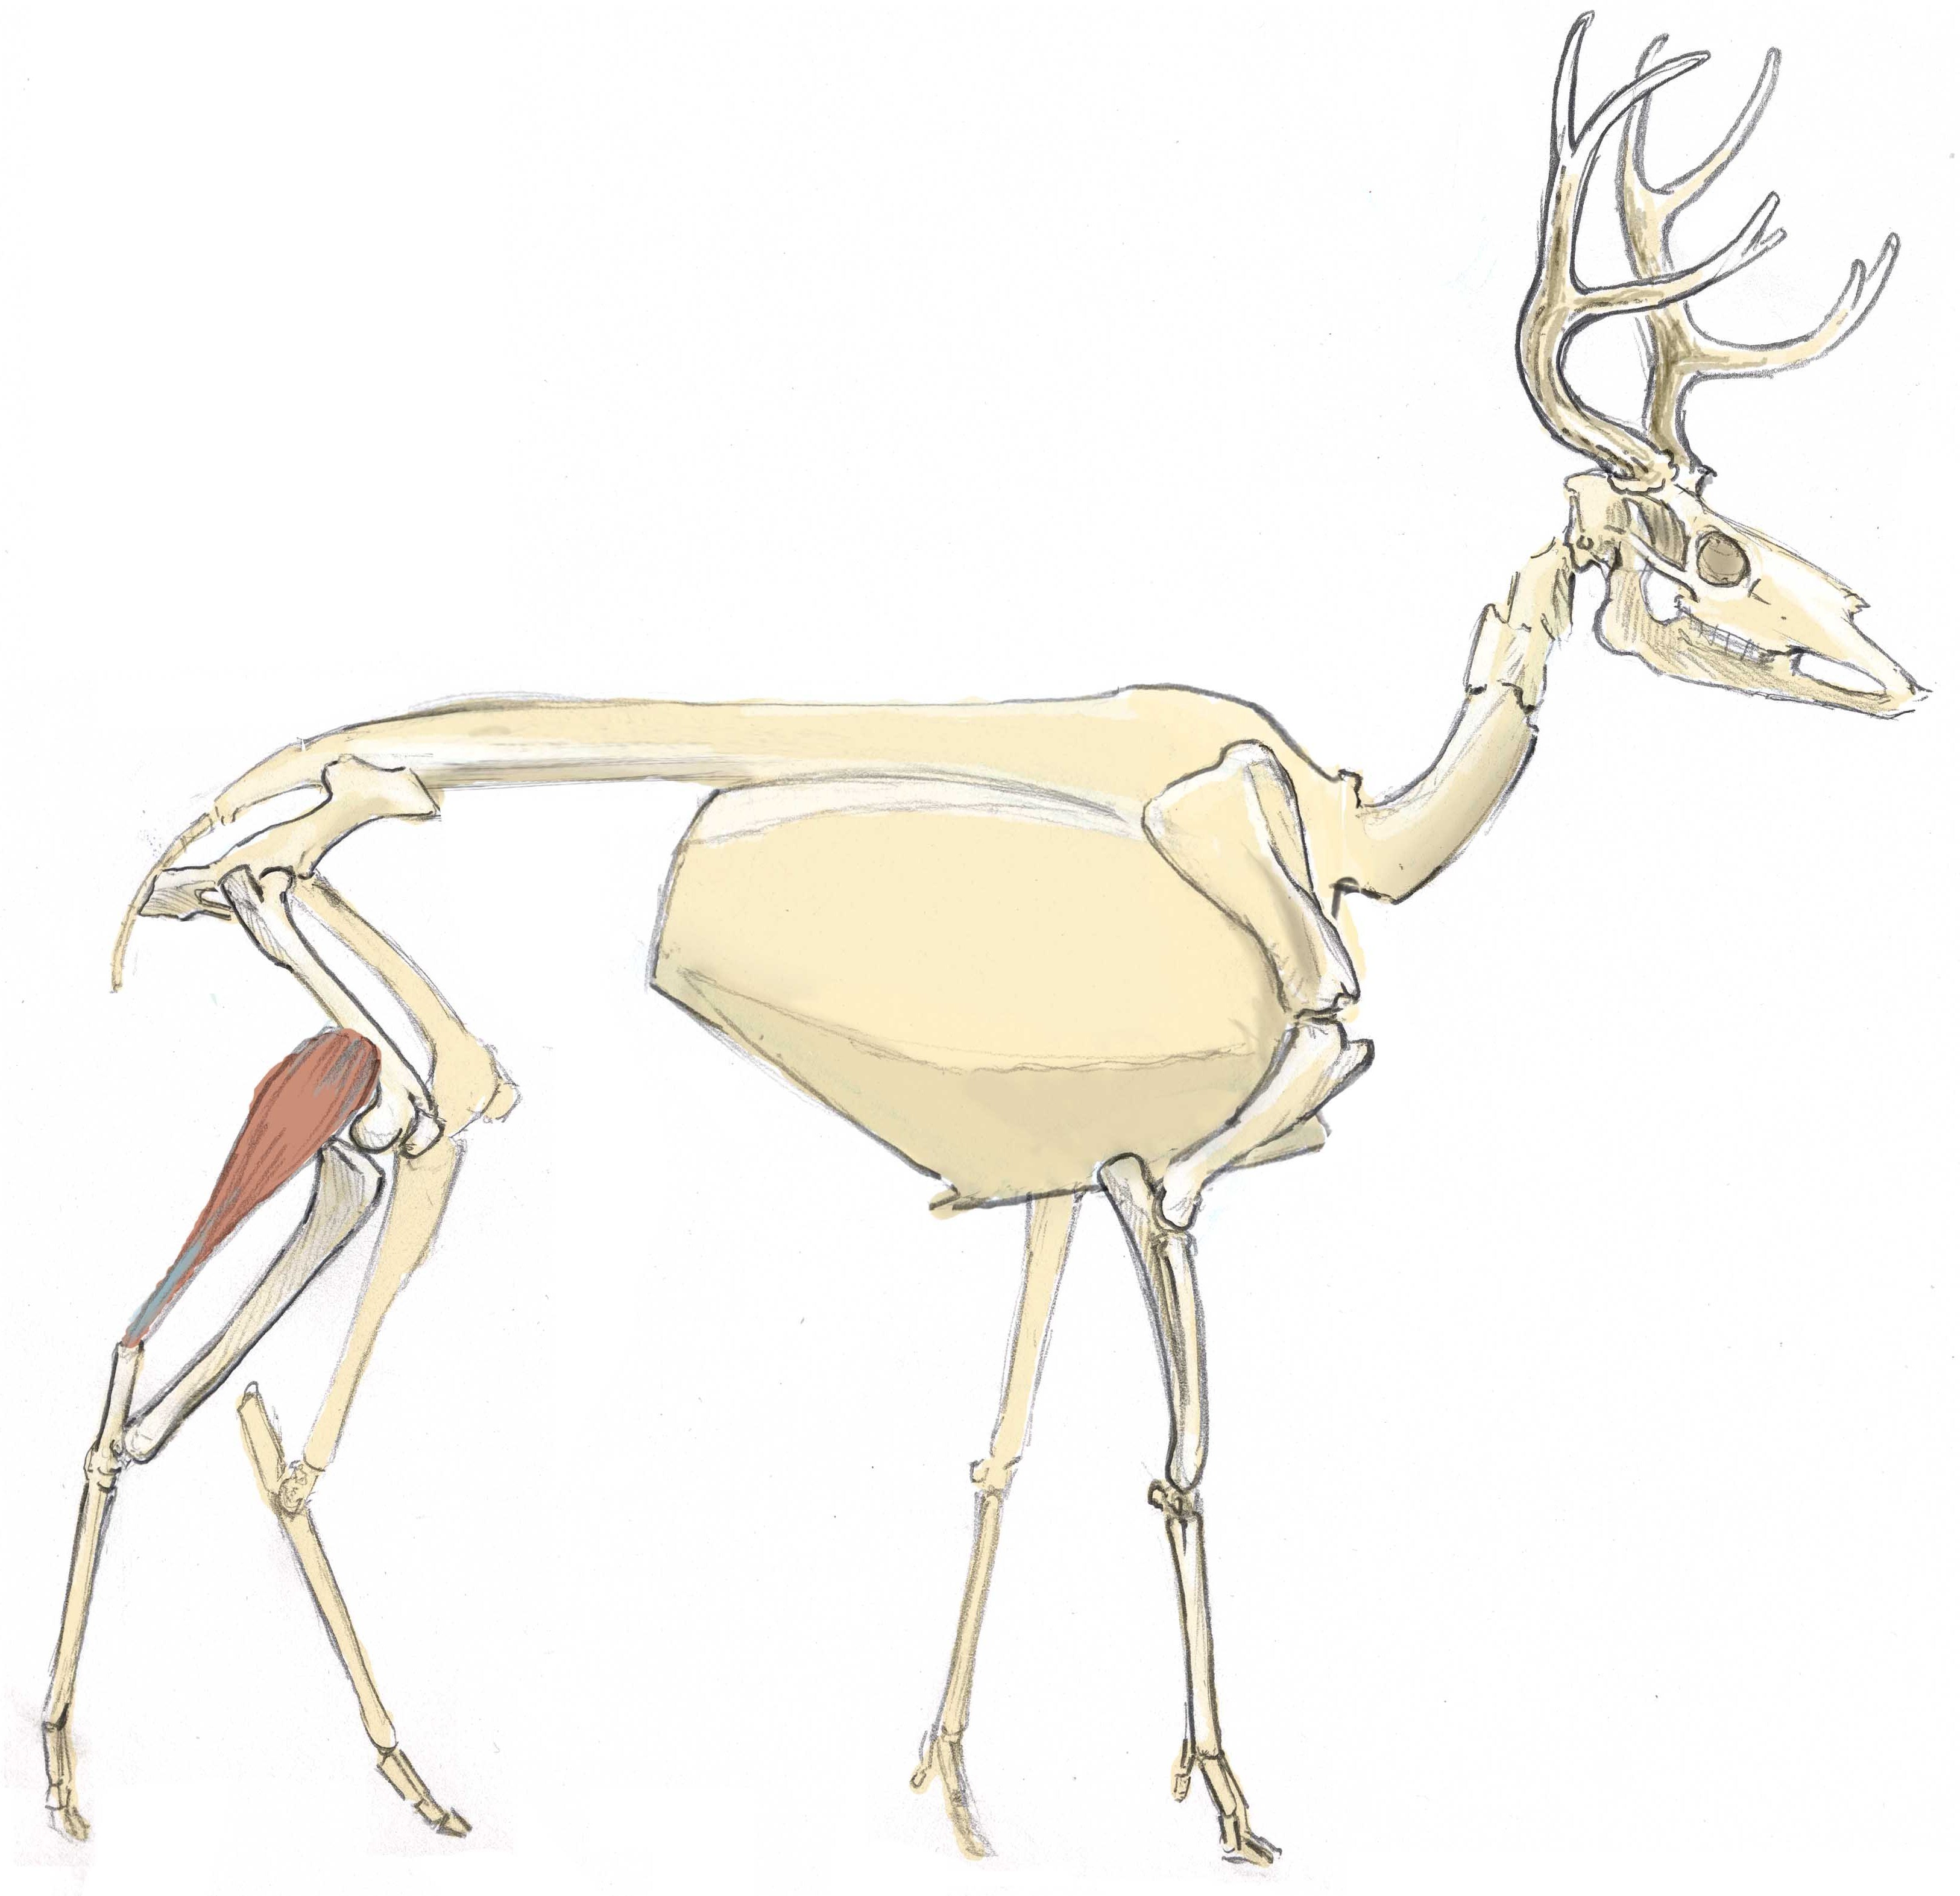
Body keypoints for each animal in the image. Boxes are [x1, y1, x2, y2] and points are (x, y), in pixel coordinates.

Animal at [41, 15, 1920, 1867]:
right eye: (1710, 549)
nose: (1893, 672)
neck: (1351, 838)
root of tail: (232, 825)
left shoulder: (1050, 1167)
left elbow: (1002, 1443)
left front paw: (953, 1784)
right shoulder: (1172, 1160)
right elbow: (1186, 1432)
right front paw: (1228, 1797)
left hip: (361, 1064)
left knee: (178, 1352)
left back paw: (92, 1773)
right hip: (437, 1056)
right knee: (296, 1383)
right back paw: (404, 1779)